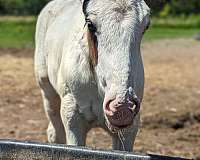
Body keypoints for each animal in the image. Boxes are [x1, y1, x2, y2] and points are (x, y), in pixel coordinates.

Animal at [34, 0, 150, 151]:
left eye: (146, 26)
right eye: (90, 24)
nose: (122, 107)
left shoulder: (129, 130)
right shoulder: (72, 119)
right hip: (47, 91)